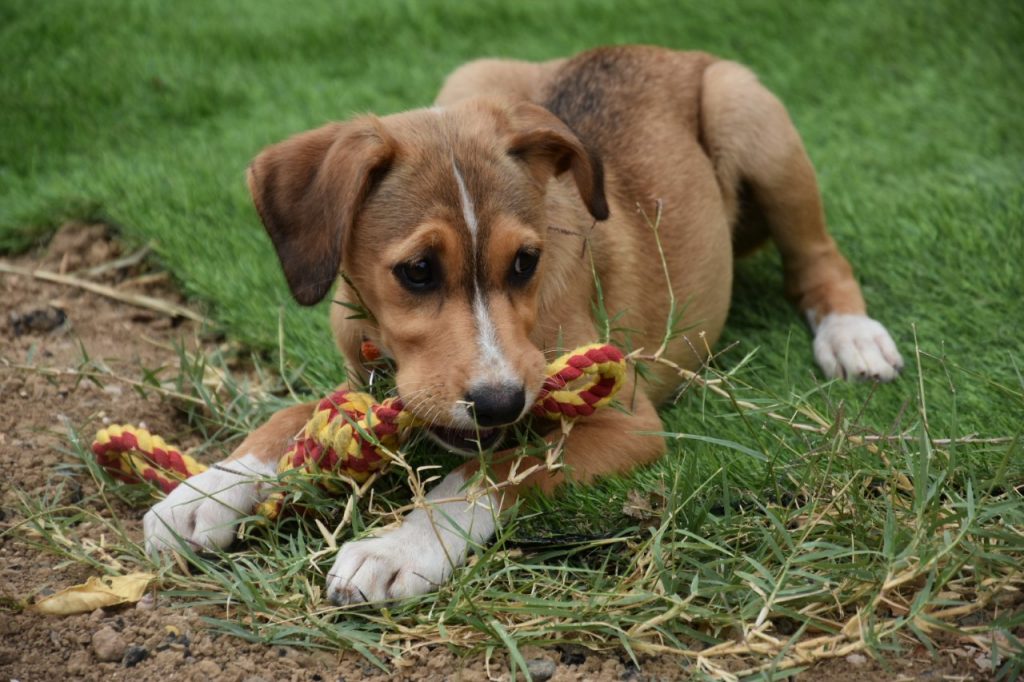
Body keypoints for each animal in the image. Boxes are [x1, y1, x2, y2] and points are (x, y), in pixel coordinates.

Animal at [146, 46, 905, 602]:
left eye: (525, 263)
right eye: (416, 271)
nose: (500, 402)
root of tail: (661, 48)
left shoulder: (627, 423)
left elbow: (491, 471)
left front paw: (399, 546)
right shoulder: (365, 376)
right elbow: (293, 415)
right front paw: (211, 490)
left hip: (748, 113)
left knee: (817, 255)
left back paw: (851, 336)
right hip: (475, 76)